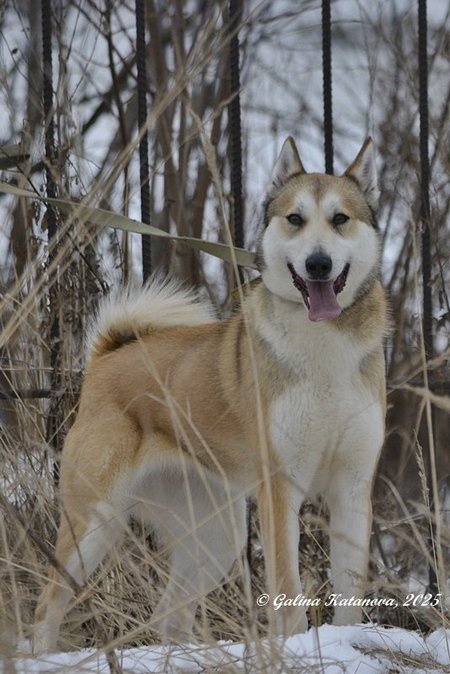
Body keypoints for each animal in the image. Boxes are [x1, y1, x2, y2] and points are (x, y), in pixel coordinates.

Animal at [34, 136, 387, 652]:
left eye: (340, 218)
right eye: (295, 219)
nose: (318, 264)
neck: (325, 350)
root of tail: (104, 359)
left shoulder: (353, 488)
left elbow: (350, 592)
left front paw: (346, 642)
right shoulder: (280, 488)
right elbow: (288, 595)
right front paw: (294, 647)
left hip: (216, 537)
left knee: (170, 616)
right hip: (94, 523)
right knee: (49, 605)